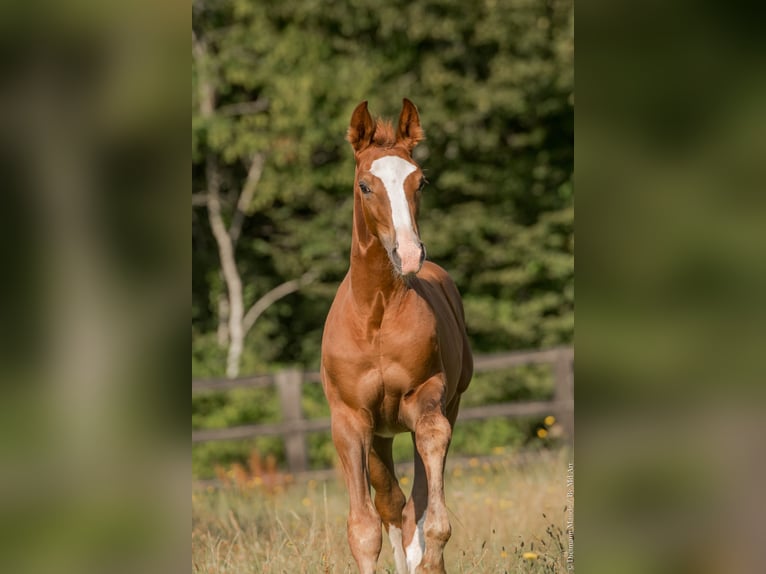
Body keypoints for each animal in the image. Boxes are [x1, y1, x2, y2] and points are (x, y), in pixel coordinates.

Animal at [320, 101, 474, 572]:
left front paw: (430, 553)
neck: (376, 315)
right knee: (390, 502)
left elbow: (428, 518)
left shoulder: (427, 400)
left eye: (419, 181)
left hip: (443, 405)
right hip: (380, 435)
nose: (408, 253)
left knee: (411, 507)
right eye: (365, 186)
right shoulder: (350, 420)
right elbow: (364, 529)